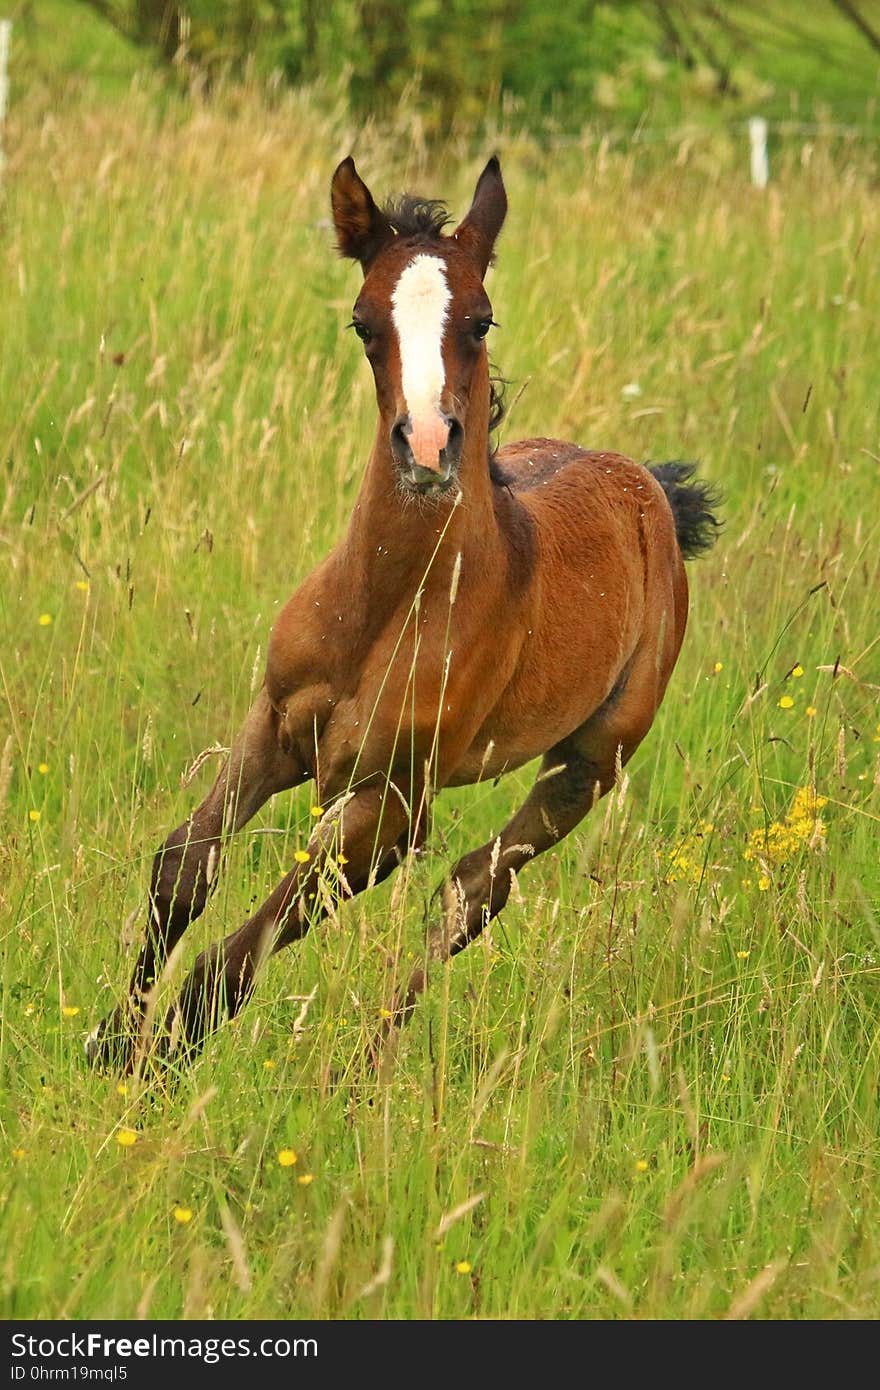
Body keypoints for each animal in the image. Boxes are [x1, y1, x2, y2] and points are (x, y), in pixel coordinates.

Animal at [85, 157, 717, 1073]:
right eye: (363, 324)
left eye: (482, 320)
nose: (425, 446)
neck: (385, 607)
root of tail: (649, 487)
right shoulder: (273, 723)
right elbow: (184, 868)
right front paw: (109, 1044)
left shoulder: (391, 807)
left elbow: (235, 955)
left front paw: (159, 1064)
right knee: (462, 891)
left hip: (591, 763)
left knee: (473, 892)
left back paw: (365, 1070)